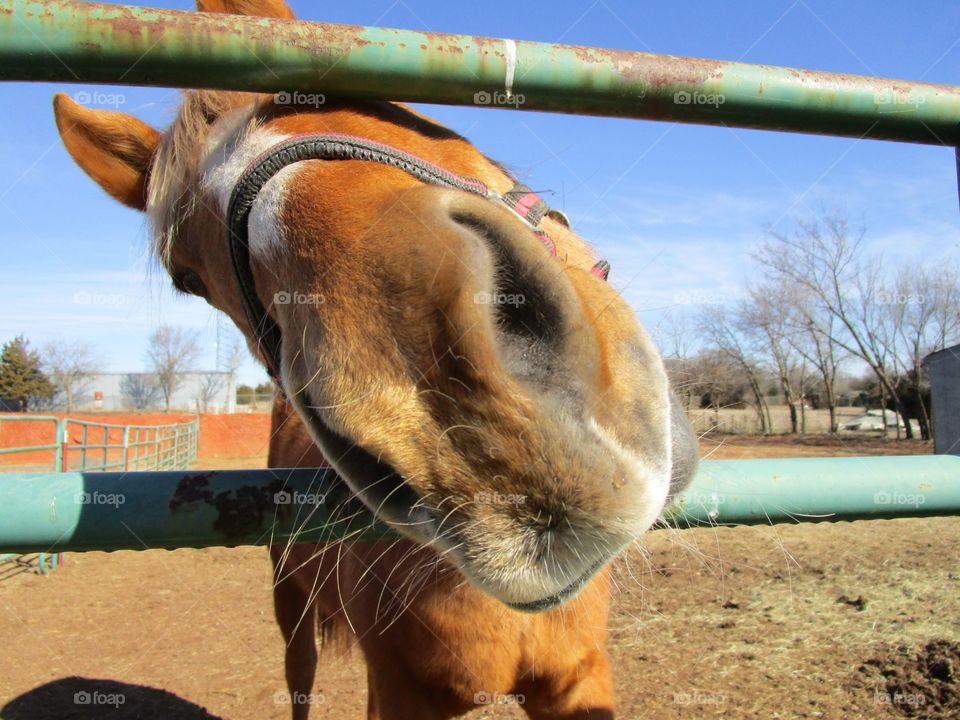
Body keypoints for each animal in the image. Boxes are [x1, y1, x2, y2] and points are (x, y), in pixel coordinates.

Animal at [52, 0, 696, 716]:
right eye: (186, 277)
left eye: (352, 88)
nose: (474, 426)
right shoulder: (398, 687)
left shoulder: (579, 681)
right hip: (290, 605)